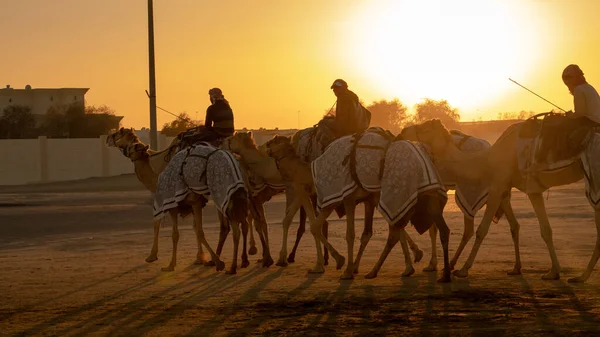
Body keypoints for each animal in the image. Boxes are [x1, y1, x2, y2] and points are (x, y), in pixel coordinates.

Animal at [400, 118, 600, 280]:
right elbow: (545, 230)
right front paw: (553, 272)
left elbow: (481, 229)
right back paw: (582, 275)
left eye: (425, 127)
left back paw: (582, 276)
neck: (487, 159)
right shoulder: (530, 190)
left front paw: (463, 269)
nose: (404, 130)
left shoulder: (497, 188)